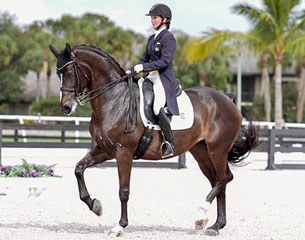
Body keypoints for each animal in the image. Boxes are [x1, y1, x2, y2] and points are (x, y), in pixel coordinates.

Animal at [48, 43, 258, 236]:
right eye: (58, 73)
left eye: (69, 72)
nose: (66, 107)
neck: (114, 100)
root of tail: (228, 99)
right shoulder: (104, 150)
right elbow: (79, 169)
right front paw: (95, 205)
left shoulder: (123, 152)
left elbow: (123, 190)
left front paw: (120, 226)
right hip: (201, 151)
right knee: (217, 181)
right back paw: (215, 225)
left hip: (218, 149)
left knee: (224, 178)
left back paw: (201, 215)